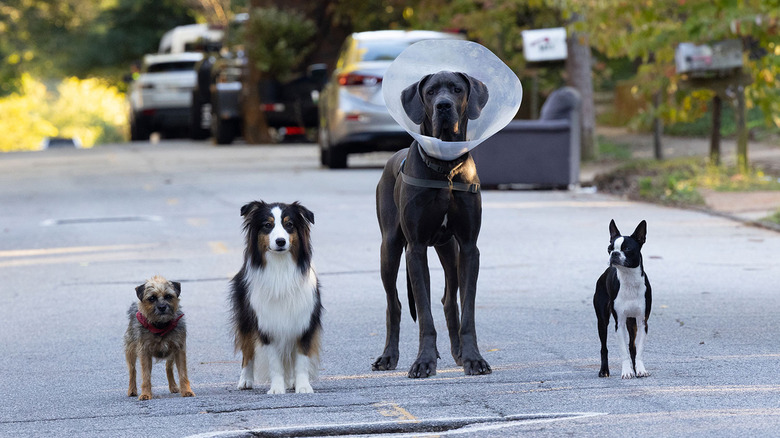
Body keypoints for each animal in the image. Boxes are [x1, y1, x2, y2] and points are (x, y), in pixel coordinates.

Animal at [229, 200, 322, 392]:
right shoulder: (267, 324)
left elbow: (301, 359)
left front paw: (303, 386)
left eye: (289, 224)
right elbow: (275, 361)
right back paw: (245, 380)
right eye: (267, 225)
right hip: (246, 320)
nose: (280, 241)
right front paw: (277, 388)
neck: (280, 267)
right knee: (247, 351)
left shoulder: (304, 322)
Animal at [370, 71, 488, 376]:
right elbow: (424, 313)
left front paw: (474, 359)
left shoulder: (469, 247)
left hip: (449, 249)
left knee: (449, 301)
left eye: (457, 89)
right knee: (394, 304)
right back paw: (388, 356)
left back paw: (458, 353)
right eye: (431, 91)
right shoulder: (416, 247)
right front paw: (424, 361)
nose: (443, 106)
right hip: (389, 248)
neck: (445, 167)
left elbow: (467, 309)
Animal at [592, 221, 652, 378]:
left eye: (627, 248)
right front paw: (627, 371)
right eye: (609, 248)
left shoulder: (642, 322)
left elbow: (639, 349)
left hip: (632, 323)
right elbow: (623, 351)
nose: (614, 253)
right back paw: (604, 370)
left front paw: (640, 369)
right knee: (604, 347)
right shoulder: (619, 323)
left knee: (632, 346)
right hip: (602, 321)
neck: (629, 279)